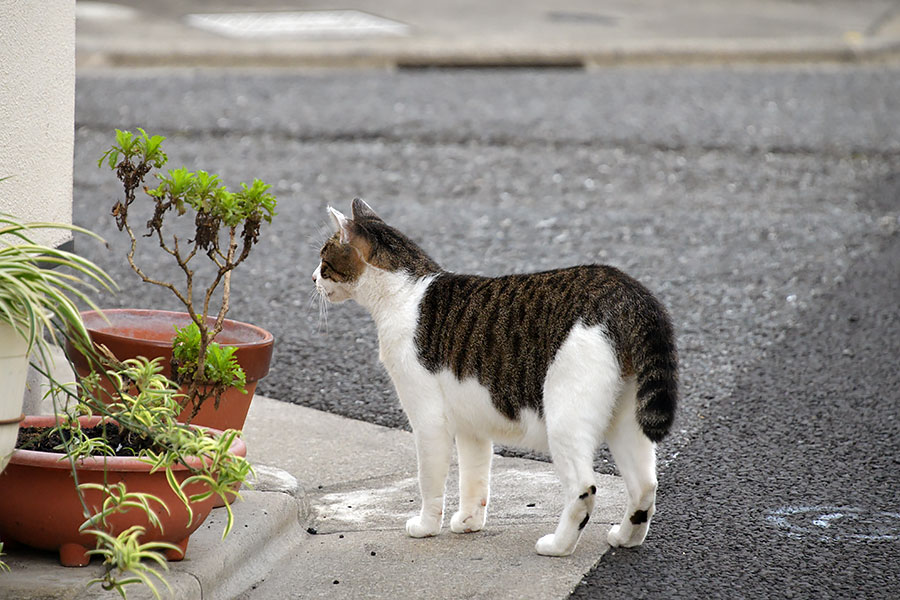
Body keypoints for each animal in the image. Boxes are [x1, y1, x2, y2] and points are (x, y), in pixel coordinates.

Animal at [312, 199, 680, 556]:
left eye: (324, 258)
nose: (313, 278)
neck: (405, 296)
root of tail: (627, 290)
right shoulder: (472, 424)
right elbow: (474, 478)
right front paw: (469, 521)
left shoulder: (429, 422)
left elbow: (430, 482)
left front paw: (426, 526)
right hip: (626, 420)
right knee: (645, 486)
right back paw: (626, 537)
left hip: (566, 418)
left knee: (583, 489)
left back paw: (558, 546)